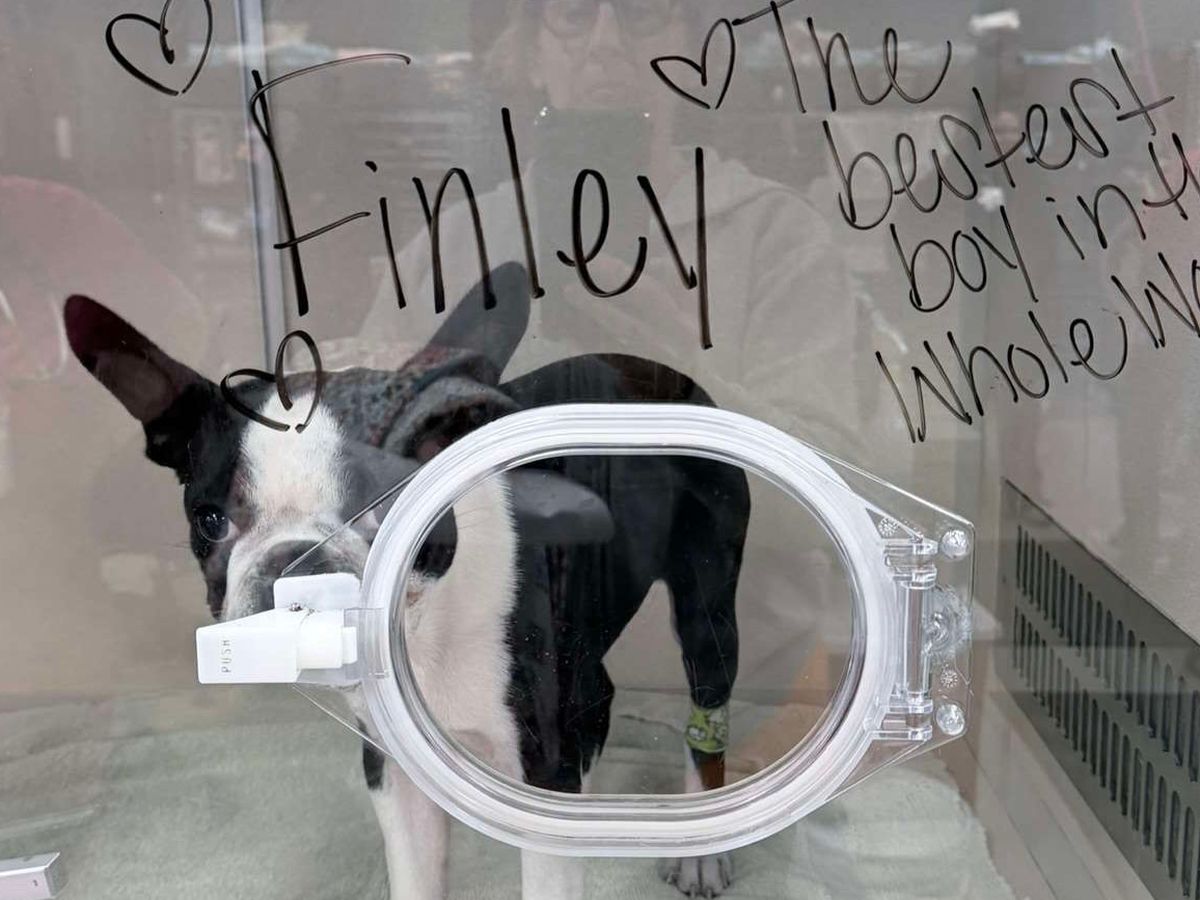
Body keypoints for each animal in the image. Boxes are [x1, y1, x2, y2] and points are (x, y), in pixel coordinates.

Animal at [63, 262, 750, 899]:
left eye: (394, 504)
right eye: (210, 521)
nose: (297, 563)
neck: (419, 633)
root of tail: (662, 371)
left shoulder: (543, 758)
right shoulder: (393, 768)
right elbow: (416, 873)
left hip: (707, 602)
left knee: (705, 702)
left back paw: (699, 849)